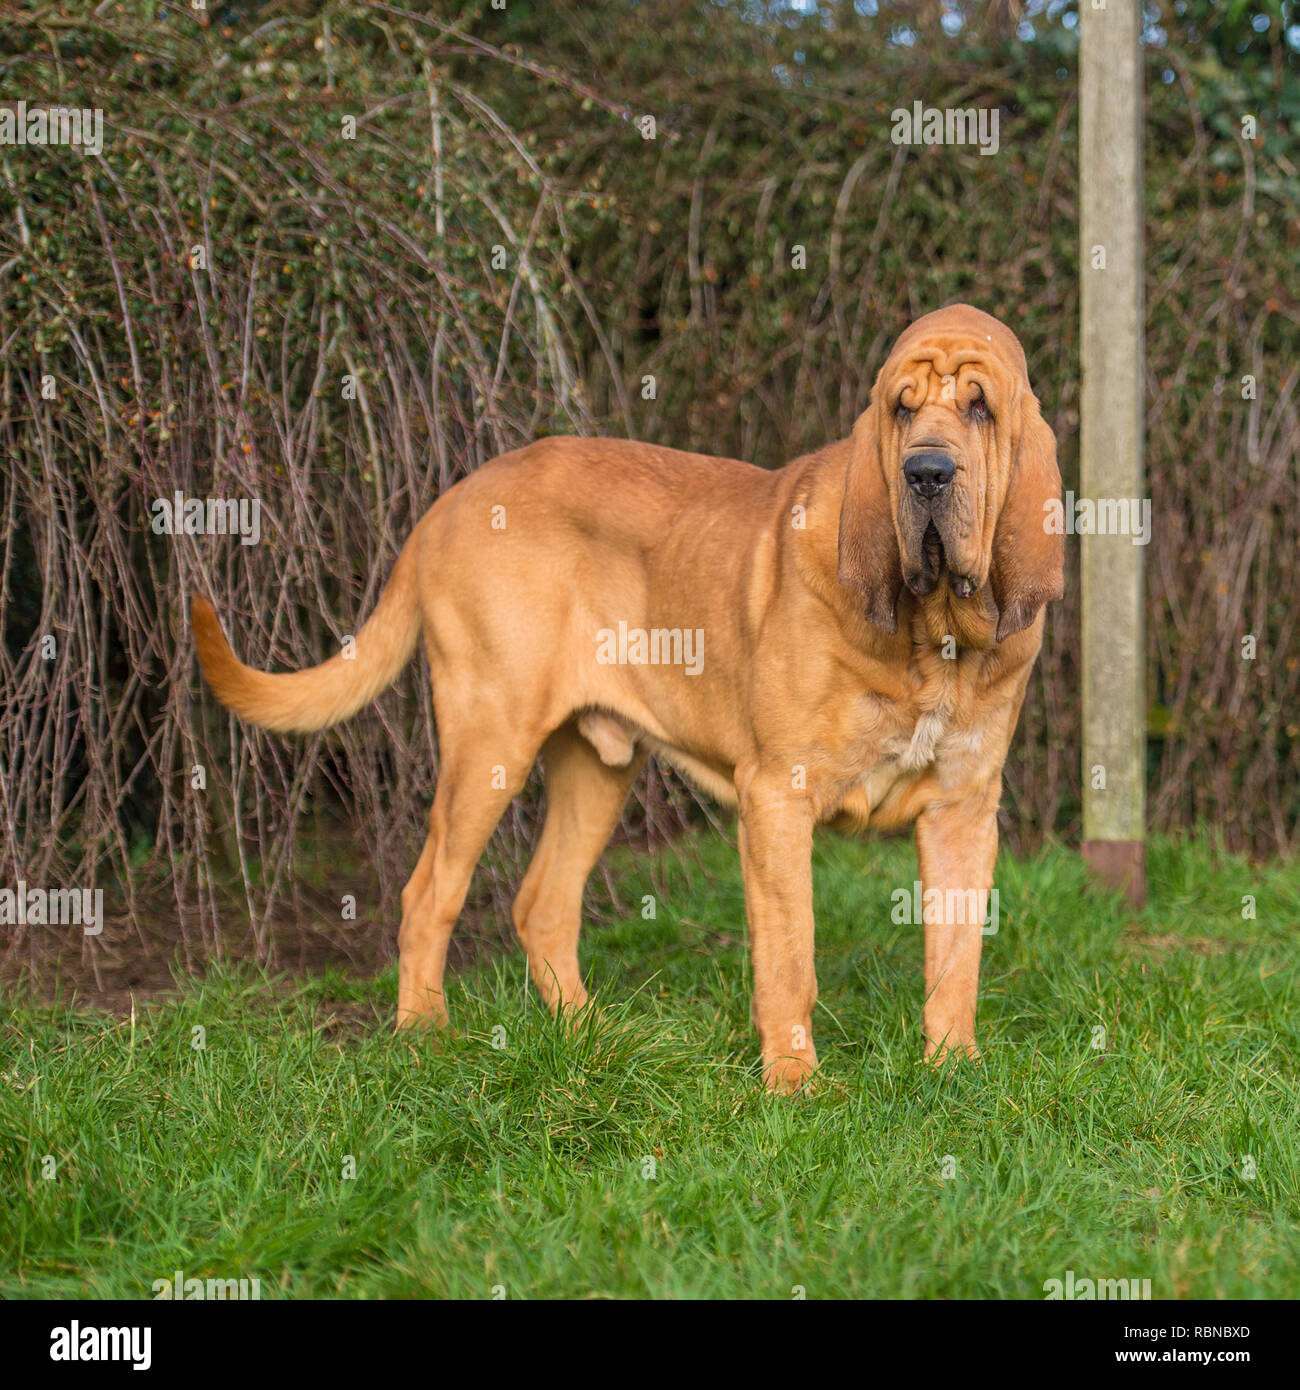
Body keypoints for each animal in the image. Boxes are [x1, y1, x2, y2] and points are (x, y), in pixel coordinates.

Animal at [196, 307, 1067, 1095]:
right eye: (901, 409)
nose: (927, 472)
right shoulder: (777, 798)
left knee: (542, 904)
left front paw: (954, 1072)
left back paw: (589, 1035)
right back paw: (425, 1037)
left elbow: (955, 959)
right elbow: (792, 956)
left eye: (981, 408)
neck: (932, 638)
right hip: (490, 743)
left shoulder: (963, 809)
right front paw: (795, 1086)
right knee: (428, 895)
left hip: (596, 767)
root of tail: (449, 501)